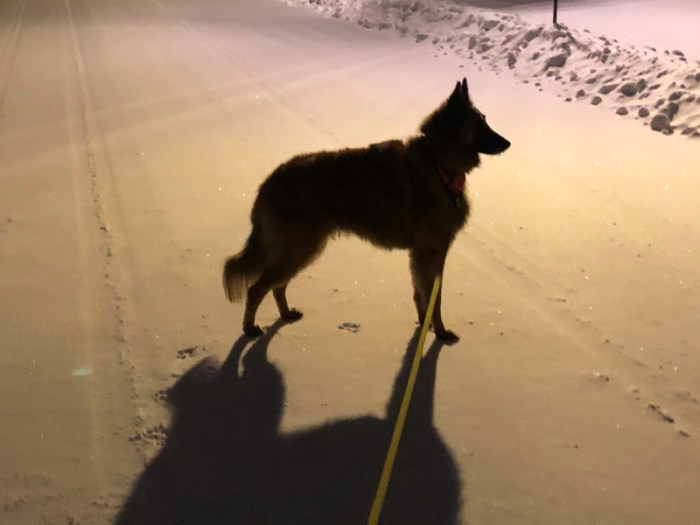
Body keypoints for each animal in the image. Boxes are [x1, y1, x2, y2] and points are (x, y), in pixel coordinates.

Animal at [223, 78, 510, 341]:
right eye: (480, 124)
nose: (507, 143)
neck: (437, 160)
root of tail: (269, 183)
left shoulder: (421, 256)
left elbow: (420, 296)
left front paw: (423, 327)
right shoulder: (431, 253)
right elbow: (433, 300)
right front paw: (438, 332)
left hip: (300, 250)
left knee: (277, 286)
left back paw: (285, 314)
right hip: (298, 249)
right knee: (257, 289)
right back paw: (249, 328)